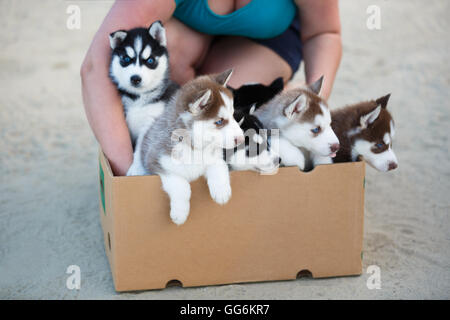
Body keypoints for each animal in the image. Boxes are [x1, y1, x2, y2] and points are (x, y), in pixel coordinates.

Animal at [128, 69, 244, 225]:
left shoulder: (214, 156)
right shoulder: (157, 161)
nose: (242, 138)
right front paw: (180, 213)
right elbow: (182, 185)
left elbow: (219, 165)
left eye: (233, 115)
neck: (194, 148)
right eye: (219, 121)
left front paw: (221, 190)